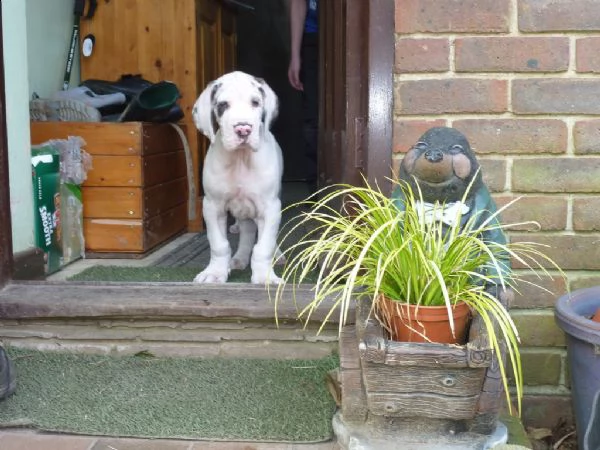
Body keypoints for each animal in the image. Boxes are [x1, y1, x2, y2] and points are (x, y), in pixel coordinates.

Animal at [193, 71, 284, 284]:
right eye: (223, 105)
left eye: (255, 102)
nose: (243, 129)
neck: (241, 159)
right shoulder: (212, 207)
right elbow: (219, 245)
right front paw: (215, 273)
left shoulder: (270, 208)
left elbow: (264, 247)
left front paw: (265, 277)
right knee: (247, 233)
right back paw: (239, 259)